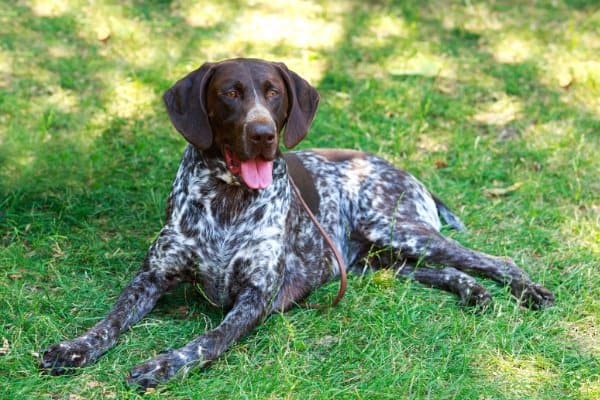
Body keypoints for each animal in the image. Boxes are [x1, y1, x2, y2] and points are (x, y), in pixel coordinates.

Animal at [39, 58, 556, 388]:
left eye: (273, 93)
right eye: (229, 93)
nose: (263, 134)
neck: (227, 200)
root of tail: (406, 173)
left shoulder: (255, 298)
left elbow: (207, 341)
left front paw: (165, 365)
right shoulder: (152, 277)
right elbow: (111, 319)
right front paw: (75, 348)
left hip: (399, 230)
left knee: (492, 258)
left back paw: (528, 290)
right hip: (379, 262)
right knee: (447, 271)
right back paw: (474, 293)